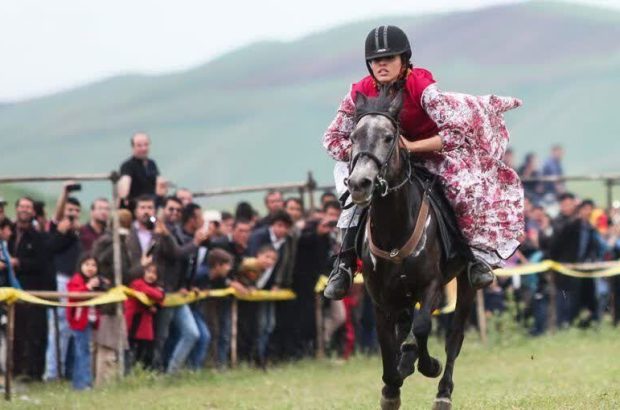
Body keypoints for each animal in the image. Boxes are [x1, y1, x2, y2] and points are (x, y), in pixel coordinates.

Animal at [346, 85, 478, 408]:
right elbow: (387, 344)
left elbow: (422, 328)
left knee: (454, 336)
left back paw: (442, 392)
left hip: (465, 283)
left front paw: (428, 365)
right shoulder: (380, 298)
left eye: (388, 137)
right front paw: (391, 389)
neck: (394, 232)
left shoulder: (431, 285)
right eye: (353, 137)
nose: (360, 184)